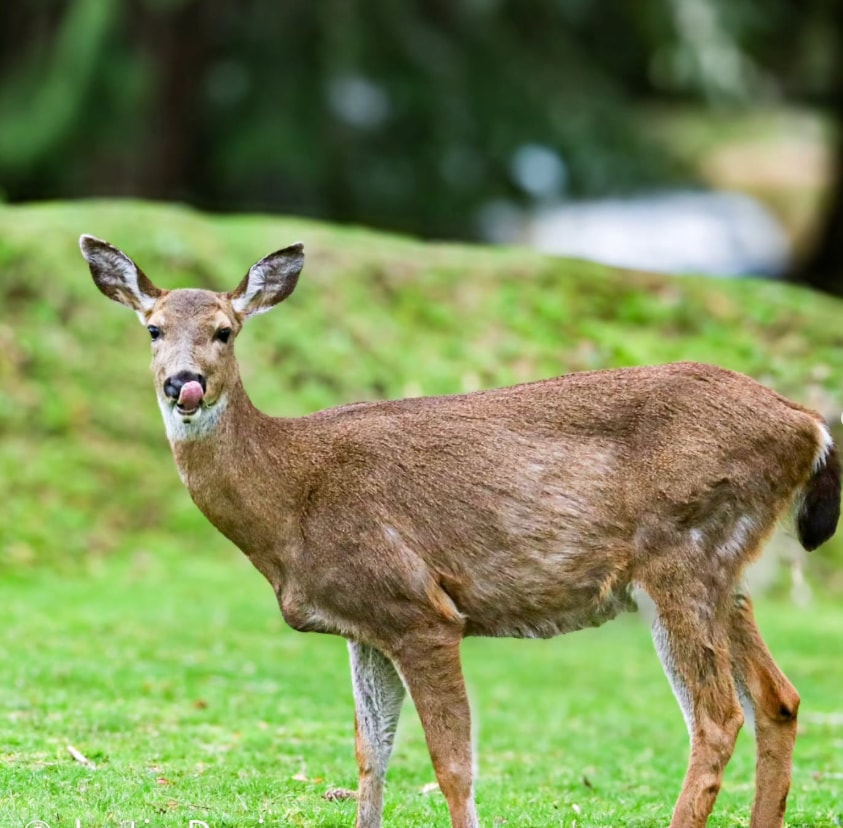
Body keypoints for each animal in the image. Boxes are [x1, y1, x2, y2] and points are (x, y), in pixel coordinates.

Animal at [79, 234, 840, 828]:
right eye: (152, 328)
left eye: (224, 331)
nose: (184, 384)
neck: (292, 500)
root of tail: (807, 423)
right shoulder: (364, 624)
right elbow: (370, 757)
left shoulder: (420, 609)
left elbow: (452, 763)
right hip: (725, 569)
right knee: (778, 698)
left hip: (683, 552)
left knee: (717, 717)